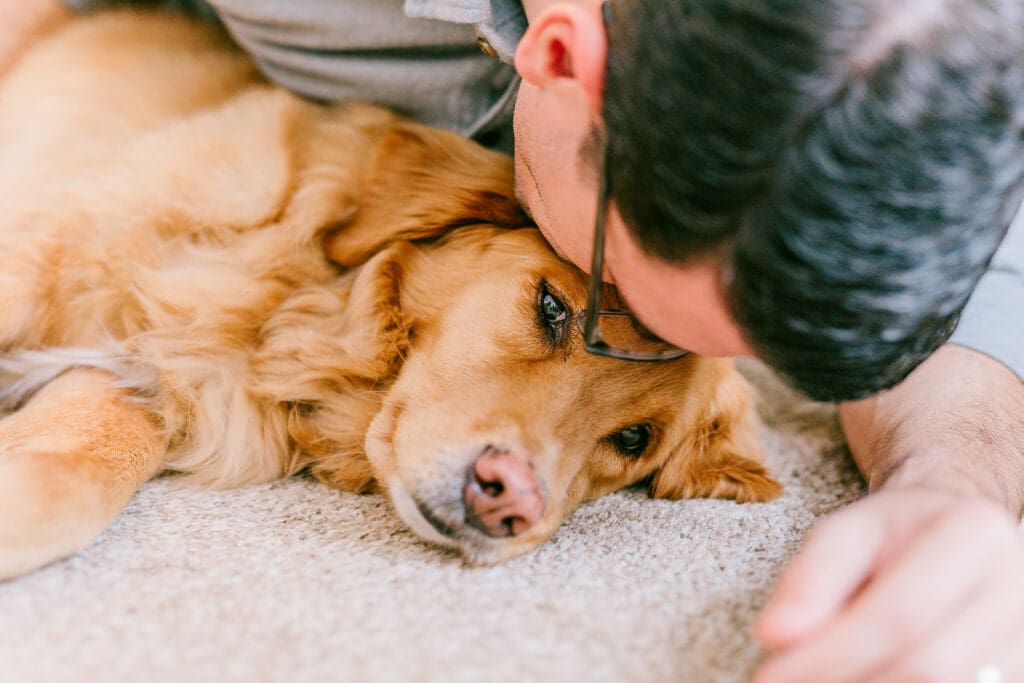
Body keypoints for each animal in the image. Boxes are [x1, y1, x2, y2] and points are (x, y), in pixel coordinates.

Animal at [0, 10, 778, 577]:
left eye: (633, 438)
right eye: (551, 309)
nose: (509, 502)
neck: (292, 305)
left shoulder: (146, 370)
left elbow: (82, 474)